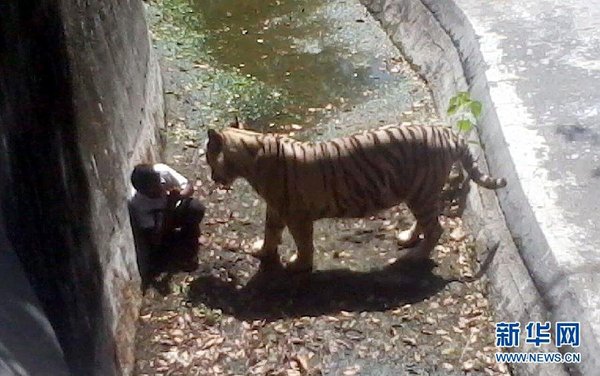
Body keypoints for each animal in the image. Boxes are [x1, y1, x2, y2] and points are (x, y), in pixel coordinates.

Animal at [206, 122, 506, 272]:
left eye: (209, 158)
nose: (211, 177)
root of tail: (448, 133)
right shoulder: (277, 209)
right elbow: (270, 232)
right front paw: (263, 251)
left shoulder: (296, 215)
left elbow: (303, 243)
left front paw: (298, 265)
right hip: (418, 194)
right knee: (426, 223)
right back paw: (408, 239)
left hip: (422, 192)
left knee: (436, 229)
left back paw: (414, 257)